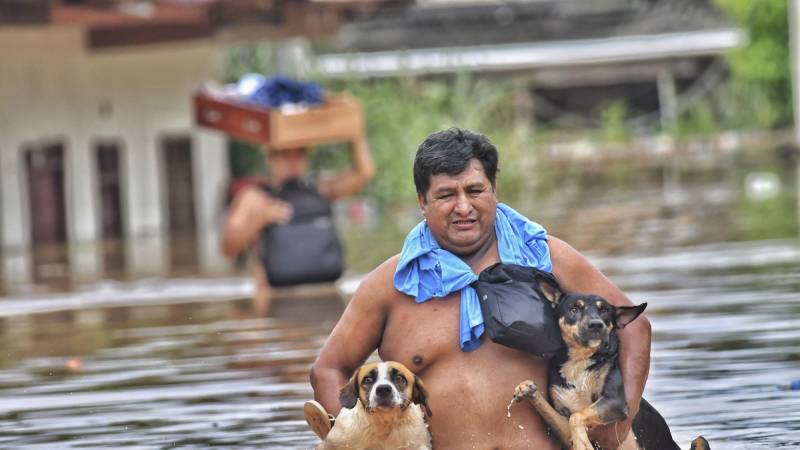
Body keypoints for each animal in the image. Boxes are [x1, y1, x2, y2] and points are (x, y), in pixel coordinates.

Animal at [512, 282, 708, 450]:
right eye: (574, 309)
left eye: (604, 310)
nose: (596, 325)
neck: (579, 361)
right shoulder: (564, 422)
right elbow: (565, 416)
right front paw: (527, 389)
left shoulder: (615, 402)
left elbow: (578, 416)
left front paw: (583, 444)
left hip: (699, 440)